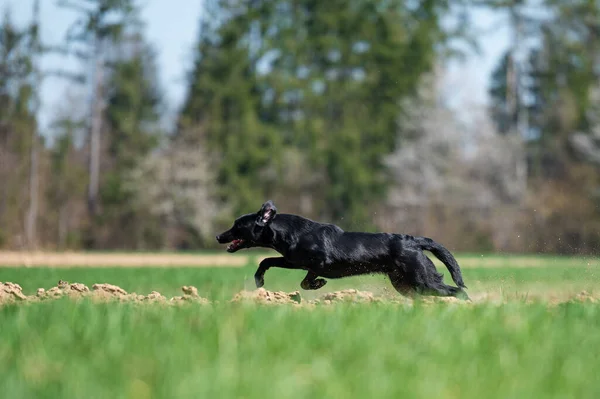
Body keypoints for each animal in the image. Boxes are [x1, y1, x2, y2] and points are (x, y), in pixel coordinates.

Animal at [216, 200, 468, 300]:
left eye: (237, 225)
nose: (218, 236)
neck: (293, 232)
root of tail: (413, 241)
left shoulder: (316, 263)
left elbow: (304, 279)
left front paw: (317, 284)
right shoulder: (293, 260)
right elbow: (267, 261)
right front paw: (259, 279)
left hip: (422, 280)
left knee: (457, 291)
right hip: (405, 284)